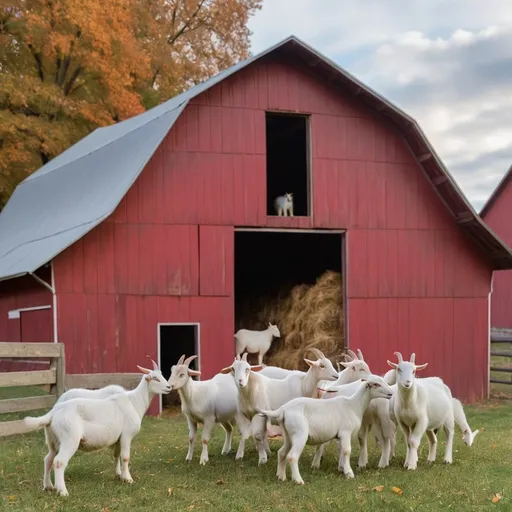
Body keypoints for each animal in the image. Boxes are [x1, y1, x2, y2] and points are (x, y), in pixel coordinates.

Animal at [23, 360, 171, 496]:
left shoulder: (118, 438)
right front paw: (128, 479)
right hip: (69, 438)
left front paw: (119, 475)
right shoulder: (127, 434)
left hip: (53, 440)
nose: (169, 387)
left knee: (48, 459)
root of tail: (53, 412)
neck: (134, 402)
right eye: (155, 378)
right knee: (59, 462)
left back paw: (48, 486)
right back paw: (63, 492)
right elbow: (125, 457)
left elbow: (116, 455)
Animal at [258, 372, 394, 484]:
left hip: (288, 435)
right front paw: (349, 473)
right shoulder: (345, 432)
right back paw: (298, 480)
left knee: (281, 453)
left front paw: (342, 468)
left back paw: (281, 477)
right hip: (299, 434)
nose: (391, 394)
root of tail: (283, 409)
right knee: (292, 456)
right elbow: (347, 451)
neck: (354, 404)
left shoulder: (340, 436)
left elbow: (341, 451)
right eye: (376, 384)